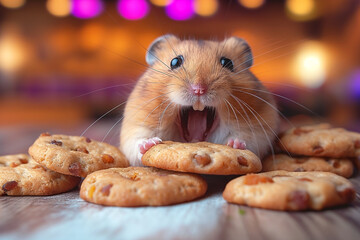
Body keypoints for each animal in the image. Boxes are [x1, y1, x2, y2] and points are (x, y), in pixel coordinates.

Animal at [119, 34, 280, 166]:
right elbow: (137, 142)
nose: (199, 89)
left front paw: (235, 144)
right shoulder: (135, 125)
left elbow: (248, 140)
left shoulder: (259, 130)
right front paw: (149, 143)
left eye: (228, 63)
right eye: (174, 62)